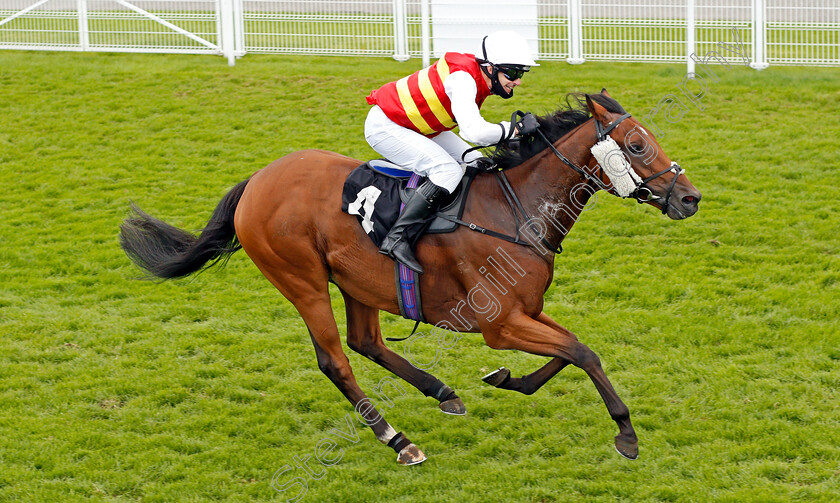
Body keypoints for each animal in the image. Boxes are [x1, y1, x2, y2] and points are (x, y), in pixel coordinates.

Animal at [118, 90, 704, 464]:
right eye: (636, 145)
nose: (690, 198)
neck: (515, 209)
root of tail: (257, 180)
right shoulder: (500, 325)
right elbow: (582, 352)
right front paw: (626, 434)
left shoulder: (527, 311)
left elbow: (571, 351)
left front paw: (506, 380)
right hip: (302, 280)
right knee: (336, 360)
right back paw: (398, 441)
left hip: (356, 281)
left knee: (367, 342)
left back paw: (442, 392)